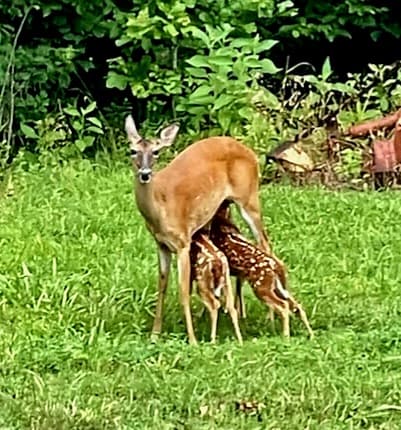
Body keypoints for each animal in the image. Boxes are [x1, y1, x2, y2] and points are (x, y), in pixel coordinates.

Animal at [123, 116, 270, 344]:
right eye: (132, 150)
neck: (161, 208)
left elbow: (183, 291)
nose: (145, 174)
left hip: (249, 198)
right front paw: (155, 334)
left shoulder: (183, 241)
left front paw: (191, 338)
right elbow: (162, 286)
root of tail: (250, 151)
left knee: (265, 243)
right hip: (221, 209)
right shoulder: (161, 244)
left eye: (156, 152)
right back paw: (234, 311)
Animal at [209, 202, 312, 340]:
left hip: (261, 287)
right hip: (277, 287)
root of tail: (275, 267)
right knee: (297, 306)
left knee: (283, 306)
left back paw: (285, 336)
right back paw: (310, 335)